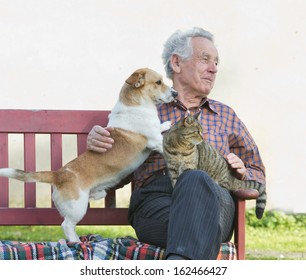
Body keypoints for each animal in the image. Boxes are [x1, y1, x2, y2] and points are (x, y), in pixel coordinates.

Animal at [0, 68, 177, 241]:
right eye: (158, 82)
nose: (175, 93)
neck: (136, 104)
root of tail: (58, 174)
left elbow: (160, 127)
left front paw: (166, 124)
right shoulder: (155, 140)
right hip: (77, 207)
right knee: (67, 226)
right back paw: (76, 242)